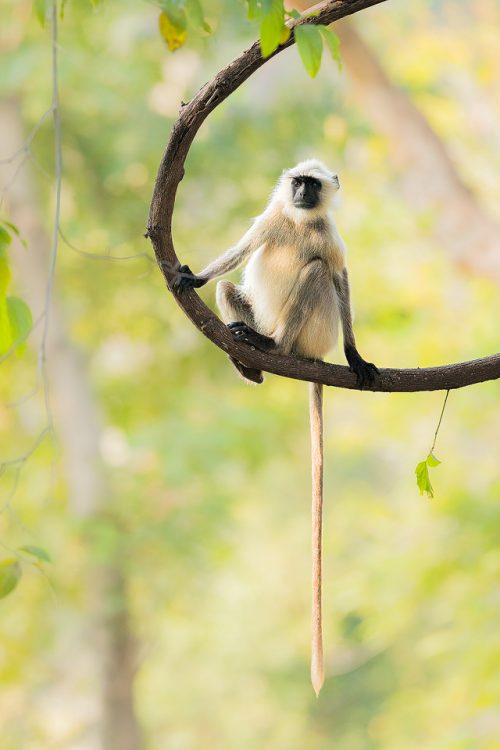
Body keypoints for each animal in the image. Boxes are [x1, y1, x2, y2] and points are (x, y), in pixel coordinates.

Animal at [172, 160, 376, 700]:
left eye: (313, 184)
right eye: (297, 183)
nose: (302, 192)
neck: (303, 223)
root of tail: (310, 356)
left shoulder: (328, 236)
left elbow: (340, 276)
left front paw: (356, 356)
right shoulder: (272, 218)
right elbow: (237, 255)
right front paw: (192, 276)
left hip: (316, 329)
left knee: (317, 272)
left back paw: (273, 347)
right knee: (230, 289)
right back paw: (249, 361)